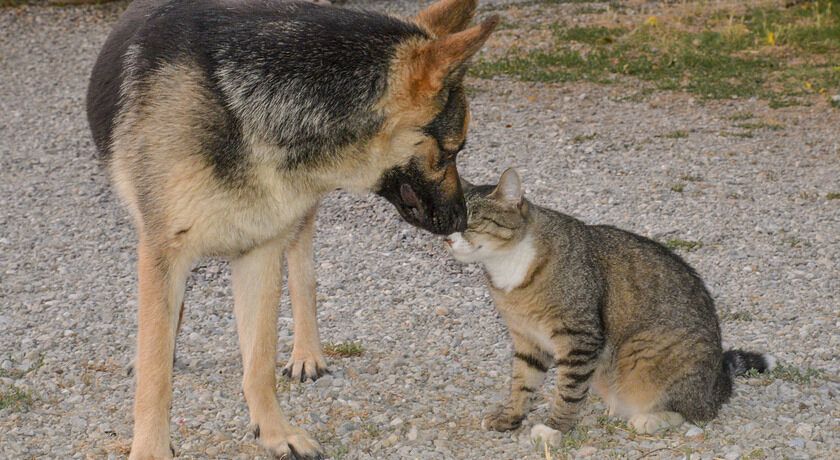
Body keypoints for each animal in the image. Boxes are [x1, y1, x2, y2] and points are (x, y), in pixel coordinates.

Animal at [86, 0, 496, 456]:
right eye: (451, 151)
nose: (461, 219)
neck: (249, 104)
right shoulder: (163, 251)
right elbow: (157, 371)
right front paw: (151, 447)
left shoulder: (261, 253)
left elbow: (259, 362)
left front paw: (274, 431)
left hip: (298, 222)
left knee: (303, 278)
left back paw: (306, 353)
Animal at [446, 170, 776, 434]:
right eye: (447, 222)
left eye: (470, 221)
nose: (448, 239)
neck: (508, 265)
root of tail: (720, 381)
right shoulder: (527, 339)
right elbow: (521, 383)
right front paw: (511, 417)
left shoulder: (579, 337)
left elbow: (568, 390)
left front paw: (555, 428)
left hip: (646, 350)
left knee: (697, 412)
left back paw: (650, 419)